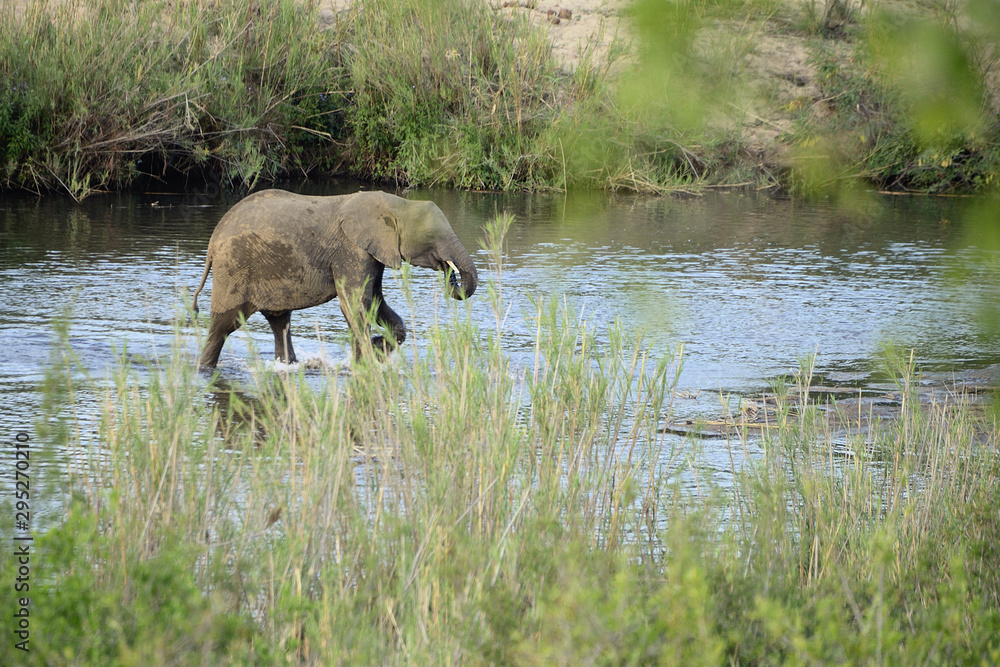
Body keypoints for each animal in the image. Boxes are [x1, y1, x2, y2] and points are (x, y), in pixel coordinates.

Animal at [191, 189, 478, 369]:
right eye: (432, 238)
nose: (451, 277)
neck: (396, 204)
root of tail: (212, 243)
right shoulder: (351, 250)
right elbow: (355, 306)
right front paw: (365, 361)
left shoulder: (370, 254)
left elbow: (375, 303)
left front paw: (376, 349)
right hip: (233, 269)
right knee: (223, 326)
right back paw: (204, 368)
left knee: (279, 322)